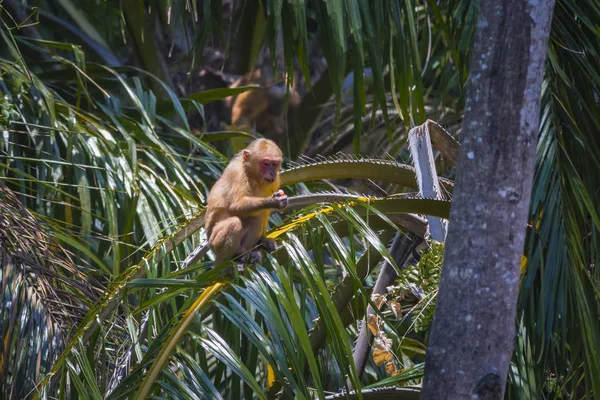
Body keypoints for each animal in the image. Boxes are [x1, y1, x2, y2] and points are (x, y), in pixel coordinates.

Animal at [185, 138, 288, 272]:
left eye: (274, 164)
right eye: (266, 163)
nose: (272, 173)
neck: (252, 176)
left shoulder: (275, 180)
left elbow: (265, 211)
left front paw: (263, 240)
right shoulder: (237, 172)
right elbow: (235, 206)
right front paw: (273, 201)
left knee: (257, 215)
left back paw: (247, 253)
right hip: (214, 244)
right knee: (235, 223)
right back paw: (227, 264)